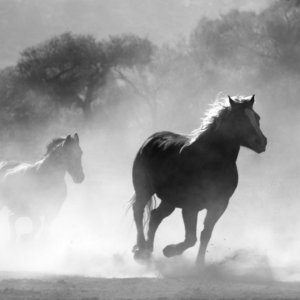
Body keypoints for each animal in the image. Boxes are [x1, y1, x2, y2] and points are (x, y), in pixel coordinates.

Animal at [131, 95, 268, 268]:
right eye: (238, 118)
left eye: (257, 117)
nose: (261, 142)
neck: (210, 162)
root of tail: (151, 139)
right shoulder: (190, 207)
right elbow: (191, 238)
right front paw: (169, 251)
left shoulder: (219, 205)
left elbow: (205, 234)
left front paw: (199, 264)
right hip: (144, 189)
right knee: (138, 211)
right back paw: (141, 250)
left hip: (169, 200)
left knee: (155, 217)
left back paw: (148, 251)